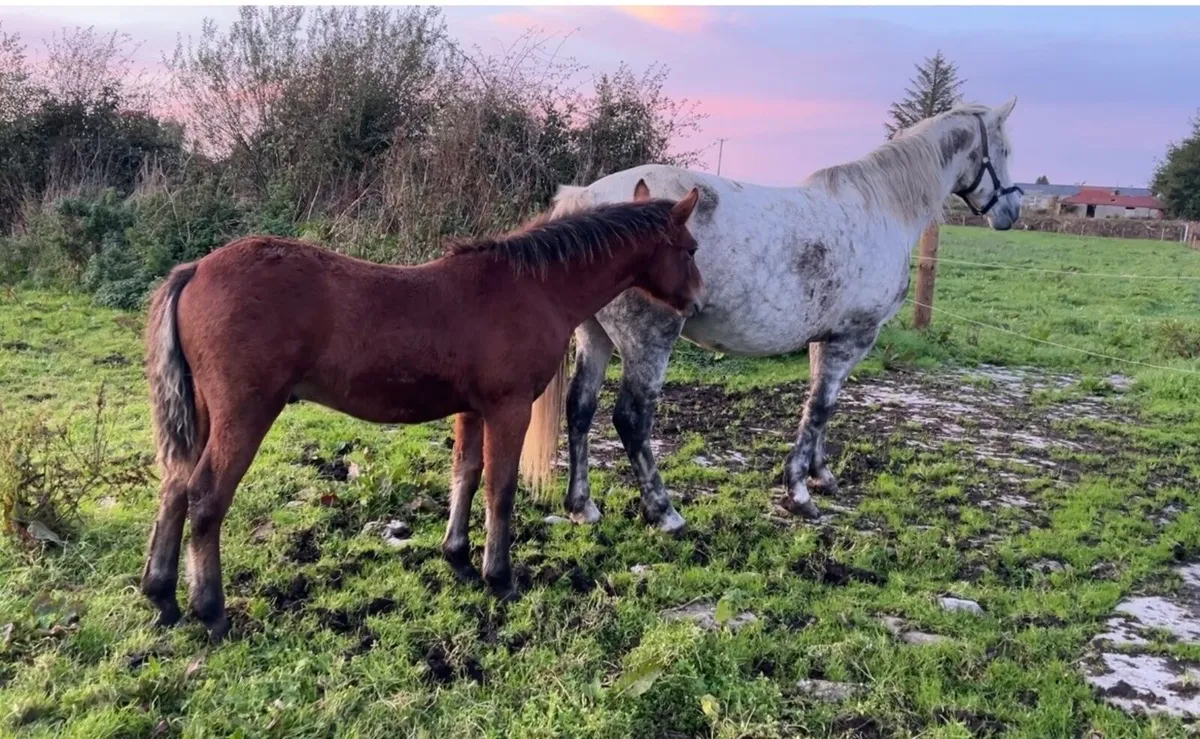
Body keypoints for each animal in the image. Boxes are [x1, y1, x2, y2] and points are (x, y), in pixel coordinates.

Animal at [139, 185, 703, 640]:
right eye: (691, 249)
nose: (697, 303)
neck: (534, 289)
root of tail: (195, 270)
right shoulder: (509, 408)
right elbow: (500, 489)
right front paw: (500, 579)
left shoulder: (473, 410)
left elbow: (466, 476)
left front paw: (458, 559)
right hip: (245, 413)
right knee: (205, 496)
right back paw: (211, 612)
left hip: (203, 415)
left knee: (175, 485)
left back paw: (162, 597)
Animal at [525, 99, 1023, 533]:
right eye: (1005, 149)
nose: (1012, 211)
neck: (880, 211)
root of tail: (586, 199)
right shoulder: (854, 338)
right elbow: (821, 407)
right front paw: (799, 493)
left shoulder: (827, 338)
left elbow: (820, 405)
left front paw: (821, 475)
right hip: (649, 339)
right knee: (631, 418)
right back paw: (664, 512)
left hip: (595, 335)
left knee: (580, 408)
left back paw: (582, 507)